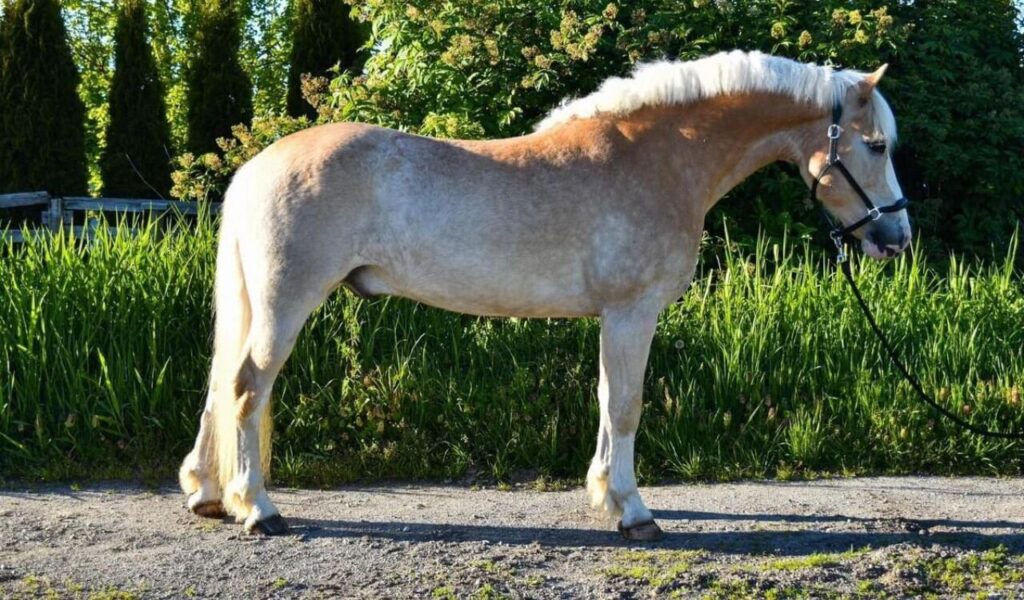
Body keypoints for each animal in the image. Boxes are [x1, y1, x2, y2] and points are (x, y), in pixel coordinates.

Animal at [178, 50, 911, 541]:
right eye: (875, 145)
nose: (897, 237)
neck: (659, 158)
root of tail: (257, 166)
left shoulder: (613, 317)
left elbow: (605, 400)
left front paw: (604, 496)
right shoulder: (632, 312)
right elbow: (626, 406)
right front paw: (635, 513)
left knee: (219, 388)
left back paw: (211, 496)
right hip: (285, 304)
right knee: (245, 389)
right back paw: (258, 510)